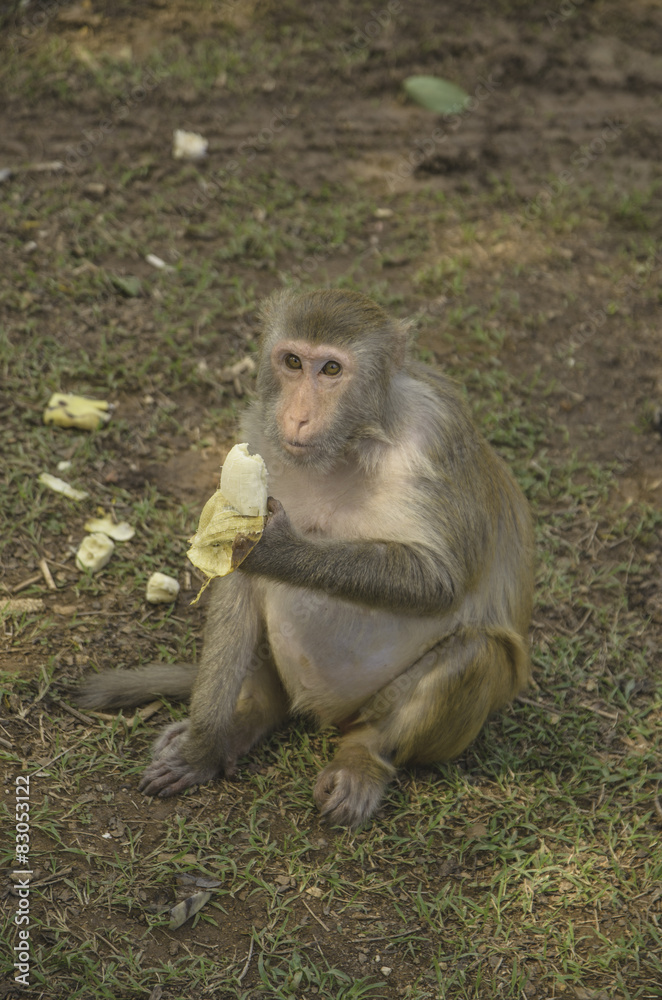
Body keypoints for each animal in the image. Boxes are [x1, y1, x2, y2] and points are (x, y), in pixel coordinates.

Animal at [78, 288, 535, 828]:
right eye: (293, 362)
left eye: (331, 369)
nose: (296, 416)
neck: (352, 442)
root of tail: (324, 715)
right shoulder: (257, 432)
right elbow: (236, 582)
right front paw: (202, 749)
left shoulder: (438, 434)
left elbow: (441, 580)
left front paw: (274, 548)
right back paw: (248, 716)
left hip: (376, 711)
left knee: (475, 654)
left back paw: (365, 757)